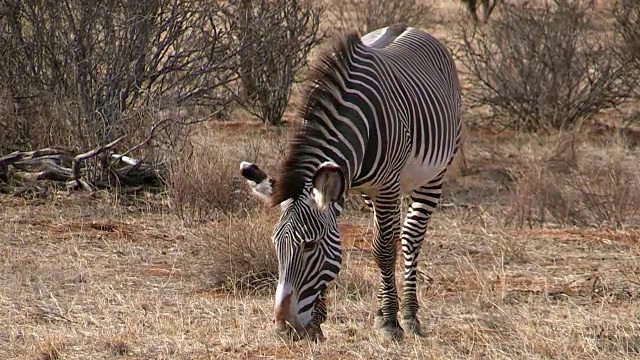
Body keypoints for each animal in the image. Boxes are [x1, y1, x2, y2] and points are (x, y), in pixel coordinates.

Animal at [240, 23, 460, 340]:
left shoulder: (387, 185)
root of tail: (409, 27)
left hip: (433, 174)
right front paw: (317, 321)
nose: (284, 330)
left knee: (409, 238)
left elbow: (383, 250)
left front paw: (390, 323)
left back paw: (409, 315)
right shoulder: (348, 187)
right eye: (276, 244)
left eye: (310, 246)